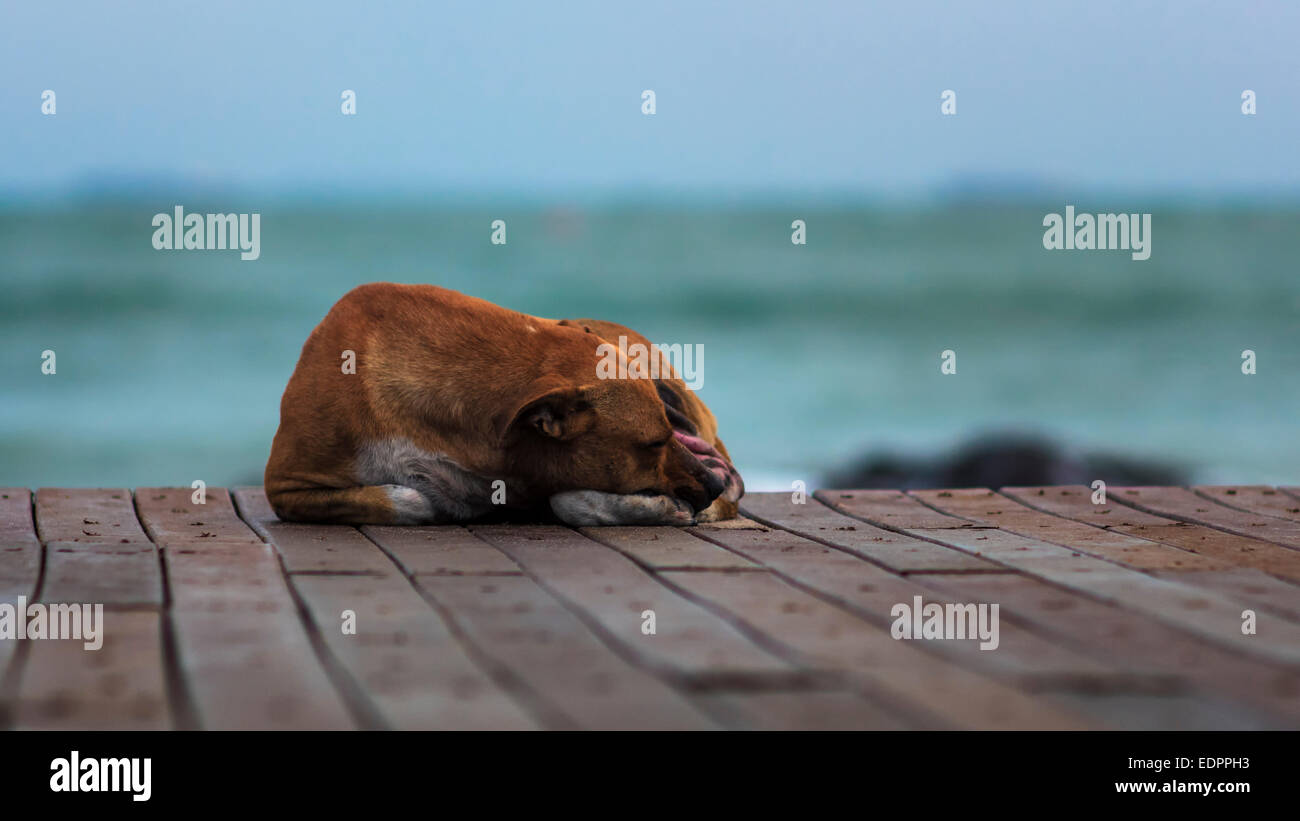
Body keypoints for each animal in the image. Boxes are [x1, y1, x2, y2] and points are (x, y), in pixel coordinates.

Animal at [263, 281, 743, 524]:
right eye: (652, 444)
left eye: (663, 437)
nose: (710, 484)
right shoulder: (285, 486)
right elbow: (410, 499)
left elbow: (568, 500)